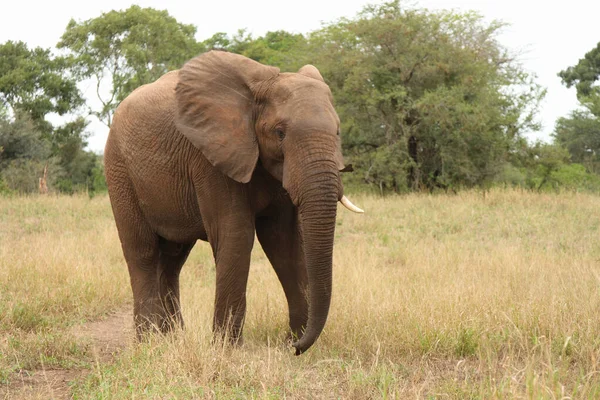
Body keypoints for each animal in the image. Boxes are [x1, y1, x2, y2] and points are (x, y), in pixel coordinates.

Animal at [105, 50, 364, 356]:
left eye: (337, 132)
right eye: (279, 133)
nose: (292, 345)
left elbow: (285, 242)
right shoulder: (210, 158)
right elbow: (236, 235)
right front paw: (227, 350)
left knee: (172, 259)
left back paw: (172, 338)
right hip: (119, 170)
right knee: (142, 252)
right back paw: (149, 342)